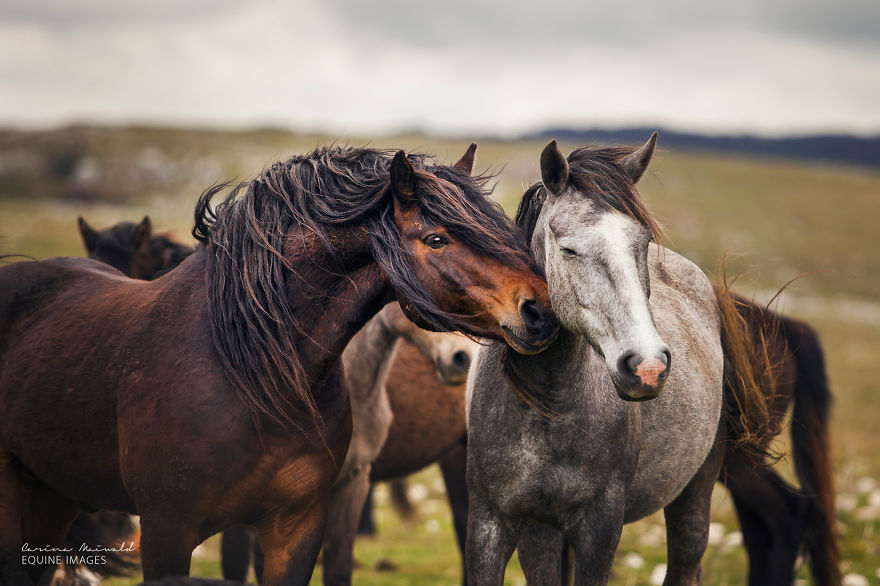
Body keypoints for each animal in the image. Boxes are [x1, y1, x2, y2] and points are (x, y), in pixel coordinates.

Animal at [465, 135, 774, 585]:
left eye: (641, 243)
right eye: (568, 249)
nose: (647, 366)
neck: (546, 405)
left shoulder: (600, 527)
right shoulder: (491, 523)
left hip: (695, 489)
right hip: (541, 532)